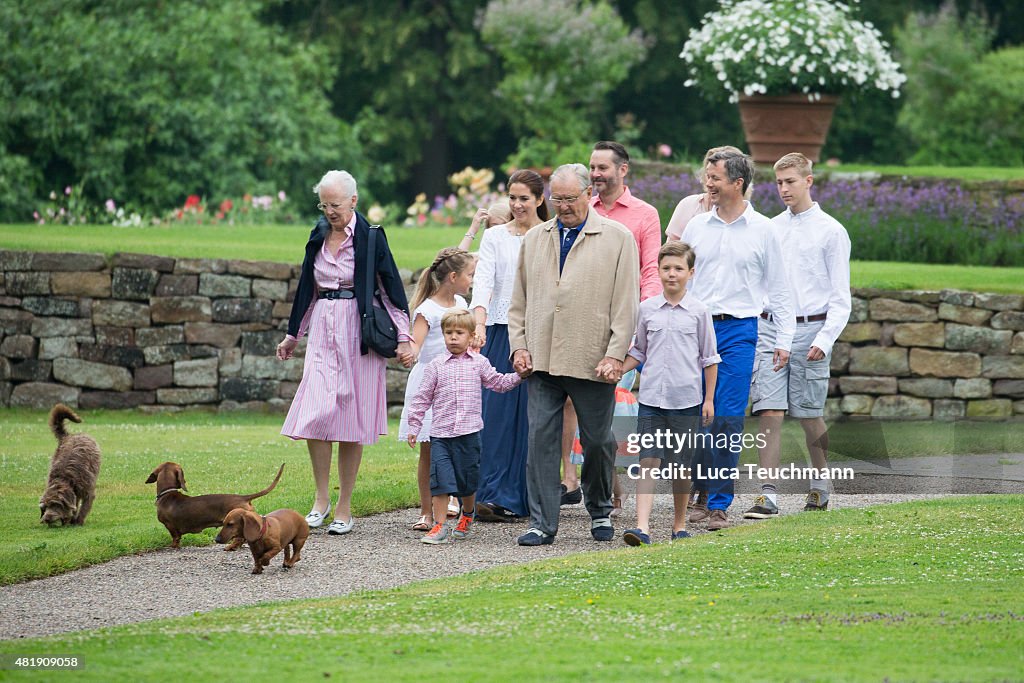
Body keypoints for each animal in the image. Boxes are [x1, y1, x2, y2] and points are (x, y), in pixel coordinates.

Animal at [146, 458, 282, 548]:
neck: (167, 494)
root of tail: (242, 497)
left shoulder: (170, 526)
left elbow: (175, 538)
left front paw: (173, 546)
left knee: (240, 538)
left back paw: (230, 547)